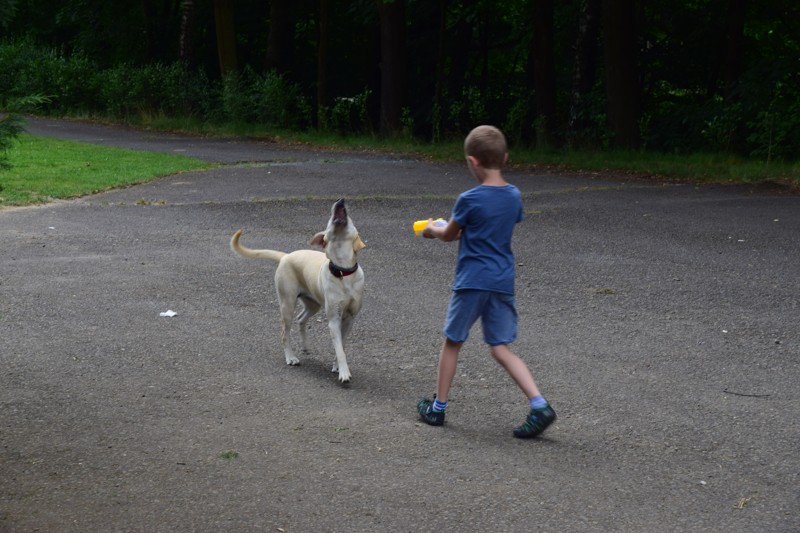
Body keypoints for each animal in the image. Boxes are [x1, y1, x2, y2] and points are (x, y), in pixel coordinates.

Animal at [231, 197, 366, 380]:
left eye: (350, 219)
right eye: (329, 219)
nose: (340, 201)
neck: (343, 272)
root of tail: (286, 256)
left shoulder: (350, 318)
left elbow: (342, 346)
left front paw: (337, 367)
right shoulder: (334, 320)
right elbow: (339, 349)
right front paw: (344, 373)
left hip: (313, 304)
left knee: (301, 319)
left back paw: (305, 346)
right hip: (287, 304)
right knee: (284, 333)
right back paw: (291, 357)